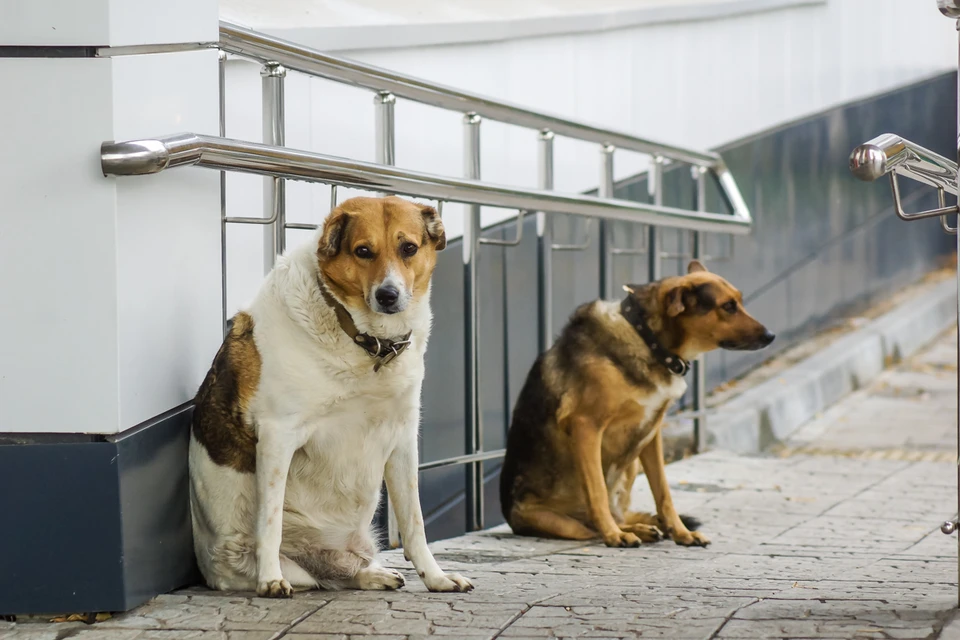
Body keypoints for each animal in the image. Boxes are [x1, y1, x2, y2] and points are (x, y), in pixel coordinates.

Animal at [188, 198, 472, 596]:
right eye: (363, 251)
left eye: (409, 248)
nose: (388, 295)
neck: (366, 342)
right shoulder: (278, 435)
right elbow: (270, 522)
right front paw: (269, 579)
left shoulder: (403, 437)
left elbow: (415, 524)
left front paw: (435, 577)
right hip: (259, 563)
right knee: (309, 573)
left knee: (343, 573)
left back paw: (373, 574)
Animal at [498, 262, 776, 548]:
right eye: (728, 306)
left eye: (739, 301)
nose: (771, 336)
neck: (649, 340)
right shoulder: (586, 427)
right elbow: (597, 490)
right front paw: (614, 536)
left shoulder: (652, 433)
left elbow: (663, 492)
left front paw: (681, 533)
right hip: (561, 522)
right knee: (591, 526)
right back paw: (620, 531)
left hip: (631, 463)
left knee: (618, 515)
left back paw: (642, 529)